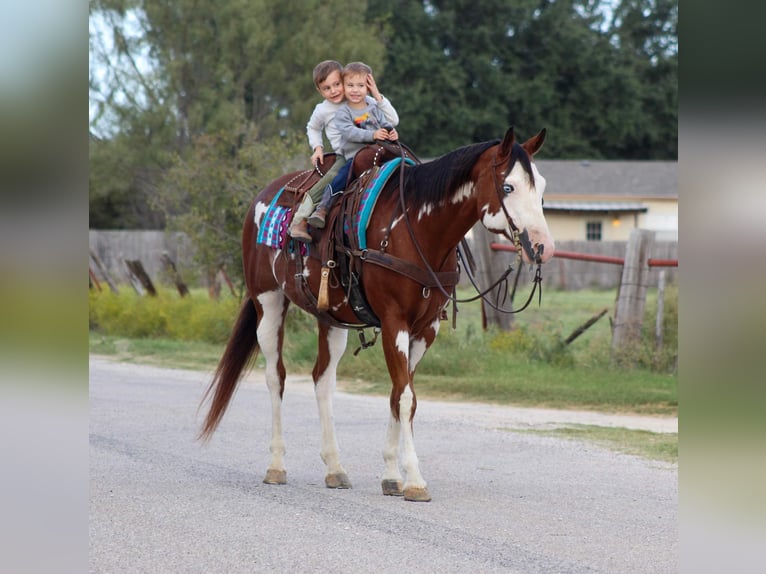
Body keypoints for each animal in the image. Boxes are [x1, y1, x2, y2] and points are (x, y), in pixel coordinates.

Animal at [199, 126, 554, 502]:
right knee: (275, 377)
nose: (543, 246)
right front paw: (414, 480)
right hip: (268, 301)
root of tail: (264, 196)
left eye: (541, 187)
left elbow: (399, 394)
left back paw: (335, 468)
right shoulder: (394, 322)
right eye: (508, 187)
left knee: (323, 380)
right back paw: (277, 465)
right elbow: (406, 397)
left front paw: (391, 476)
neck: (416, 228)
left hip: (330, 319)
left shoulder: (425, 330)